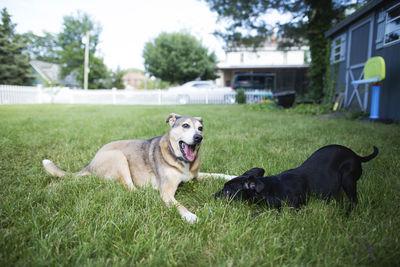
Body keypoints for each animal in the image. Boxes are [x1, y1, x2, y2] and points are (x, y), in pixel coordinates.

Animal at [216, 146, 378, 215]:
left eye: (227, 191)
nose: (213, 196)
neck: (270, 187)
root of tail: (357, 156)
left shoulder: (292, 208)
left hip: (348, 179)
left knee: (354, 200)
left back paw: (347, 214)